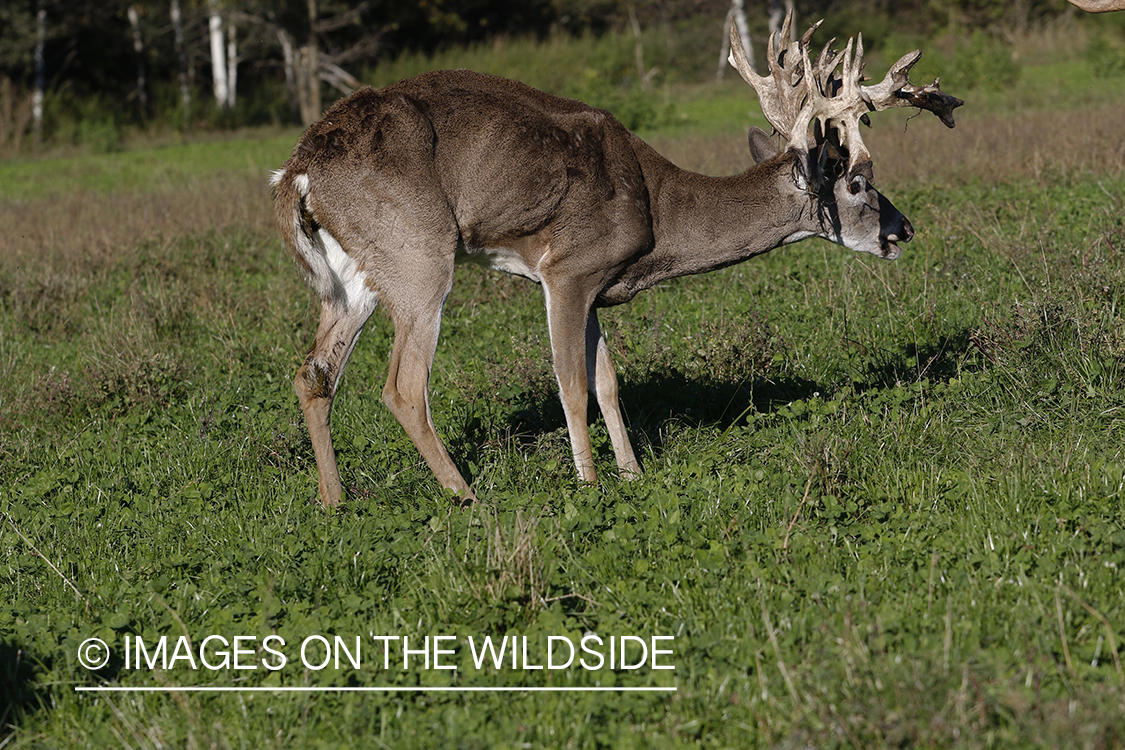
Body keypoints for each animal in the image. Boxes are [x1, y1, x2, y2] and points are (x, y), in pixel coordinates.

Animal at [270, 13, 958, 503]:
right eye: (858, 183)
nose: (904, 229)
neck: (657, 214)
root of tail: (298, 170)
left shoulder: (598, 286)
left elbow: (607, 382)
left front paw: (630, 474)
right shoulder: (567, 269)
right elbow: (571, 384)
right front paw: (591, 483)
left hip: (357, 273)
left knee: (314, 373)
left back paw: (334, 502)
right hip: (417, 252)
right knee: (403, 387)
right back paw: (466, 495)